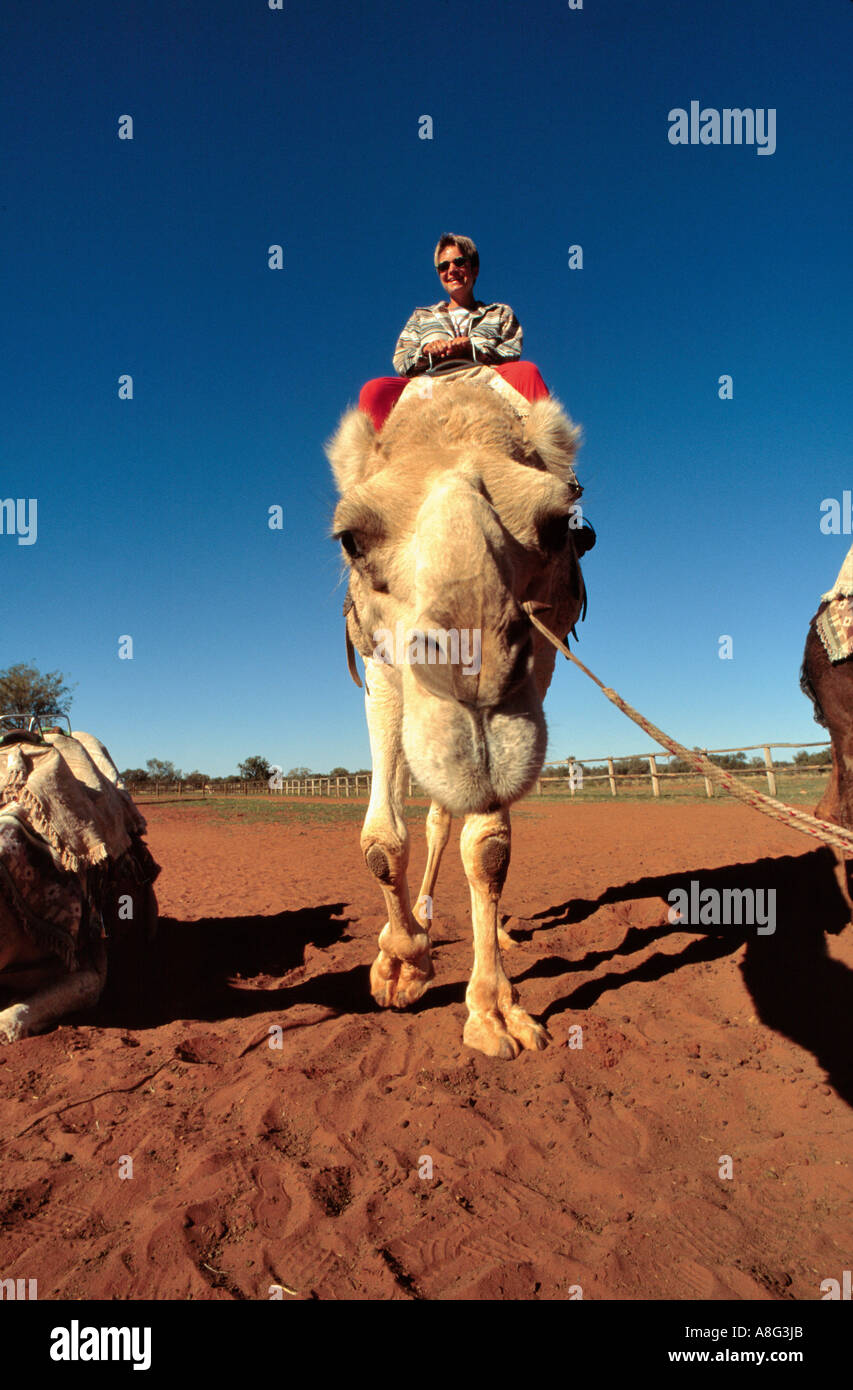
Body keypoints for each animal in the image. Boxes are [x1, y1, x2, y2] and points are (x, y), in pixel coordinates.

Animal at [327, 377, 590, 1058]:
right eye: (351, 538)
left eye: (559, 526)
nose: (475, 673)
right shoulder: (380, 670)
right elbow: (382, 842)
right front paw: (400, 967)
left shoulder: (545, 657)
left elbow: (489, 848)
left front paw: (494, 1013)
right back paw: (422, 918)